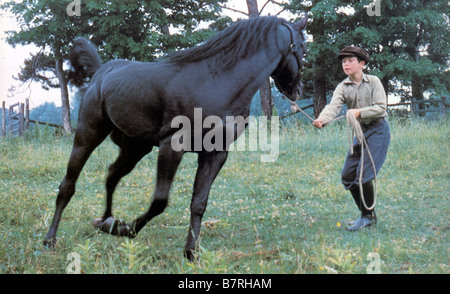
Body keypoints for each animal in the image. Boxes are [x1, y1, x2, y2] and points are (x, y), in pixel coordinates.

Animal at [44, 15, 308, 260]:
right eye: (303, 47)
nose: (297, 90)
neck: (217, 81)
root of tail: (100, 72)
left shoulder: (215, 153)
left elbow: (199, 203)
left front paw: (191, 253)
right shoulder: (172, 146)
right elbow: (160, 201)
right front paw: (128, 229)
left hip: (135, 148)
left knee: (111, 176)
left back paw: (107, 222)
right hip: (87, 136)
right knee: (67, 186)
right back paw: (51, 239)